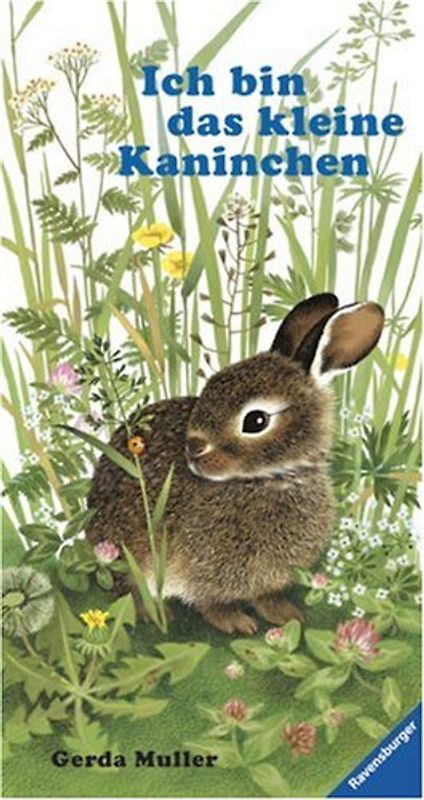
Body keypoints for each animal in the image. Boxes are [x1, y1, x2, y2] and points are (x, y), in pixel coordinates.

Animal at [86, 293, 384, 634]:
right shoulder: (202, 568)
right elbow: (212, 602)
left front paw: (287, 616)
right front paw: (237, 623)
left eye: (256, 421)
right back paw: (153, 614)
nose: (193, 448)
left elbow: (267, 597)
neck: (270, 478)